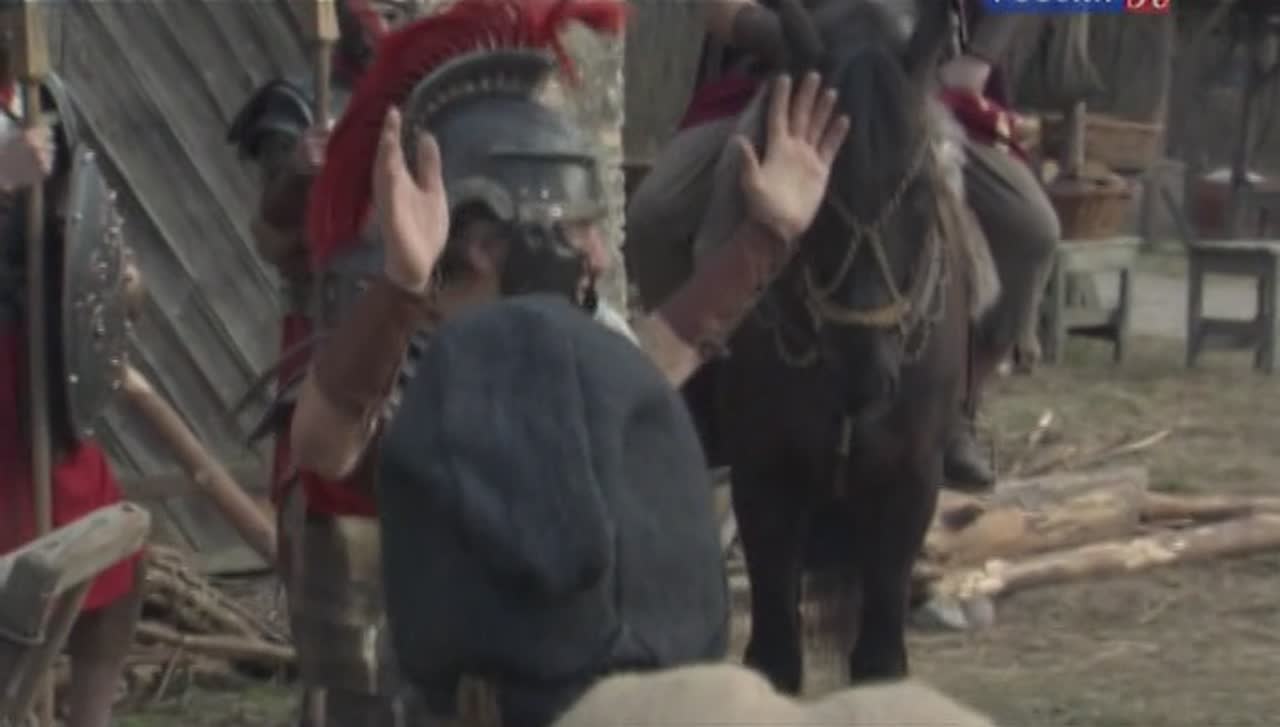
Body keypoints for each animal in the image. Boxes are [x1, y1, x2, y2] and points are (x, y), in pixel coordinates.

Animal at [715, 0, 983, 692]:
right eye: (818, 195)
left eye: (919, 192)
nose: (864, 374)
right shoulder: (763, 477)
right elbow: (774, 656)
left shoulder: (909, 484)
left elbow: (880, 659)